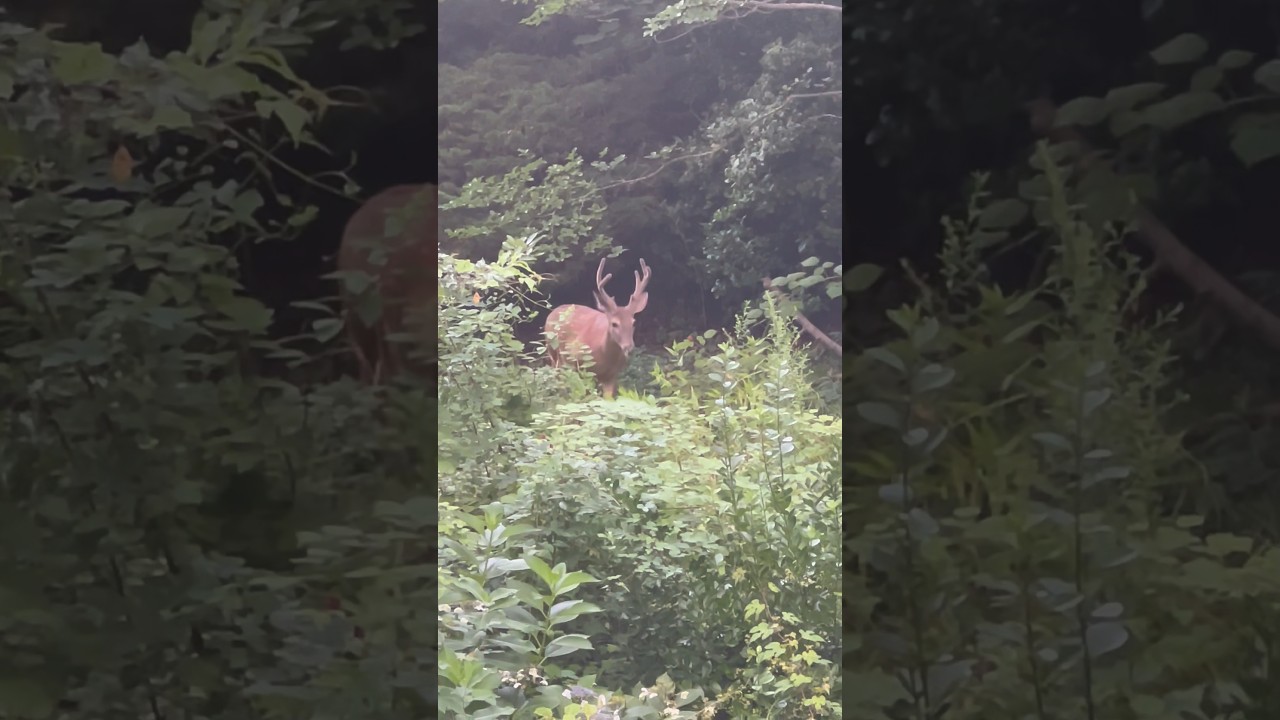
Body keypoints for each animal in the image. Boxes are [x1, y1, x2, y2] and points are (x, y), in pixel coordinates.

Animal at [544, 256, 651, 399]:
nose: (629, 347)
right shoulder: (581, 367)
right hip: (553, 352)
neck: (603, 353)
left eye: (633, 322)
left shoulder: (611, 376)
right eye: (614, 323)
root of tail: (552, 313)